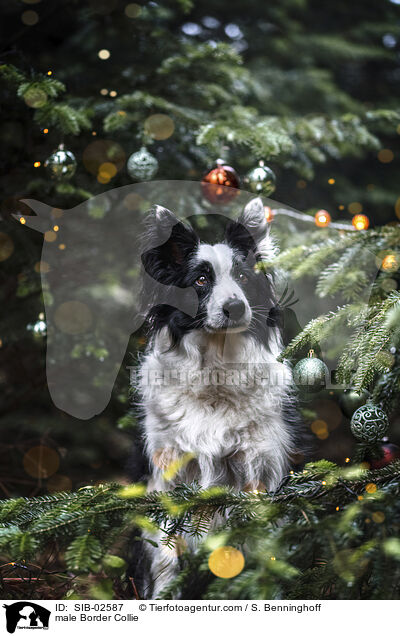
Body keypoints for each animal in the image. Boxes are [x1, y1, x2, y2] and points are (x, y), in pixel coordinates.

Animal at [133, 196, 302, 600]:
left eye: (242, 278)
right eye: (200, 280)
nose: (235, 307)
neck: (215, 372)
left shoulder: (260, 466)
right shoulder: (169, 472)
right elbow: (166, 552)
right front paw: (163, 598)